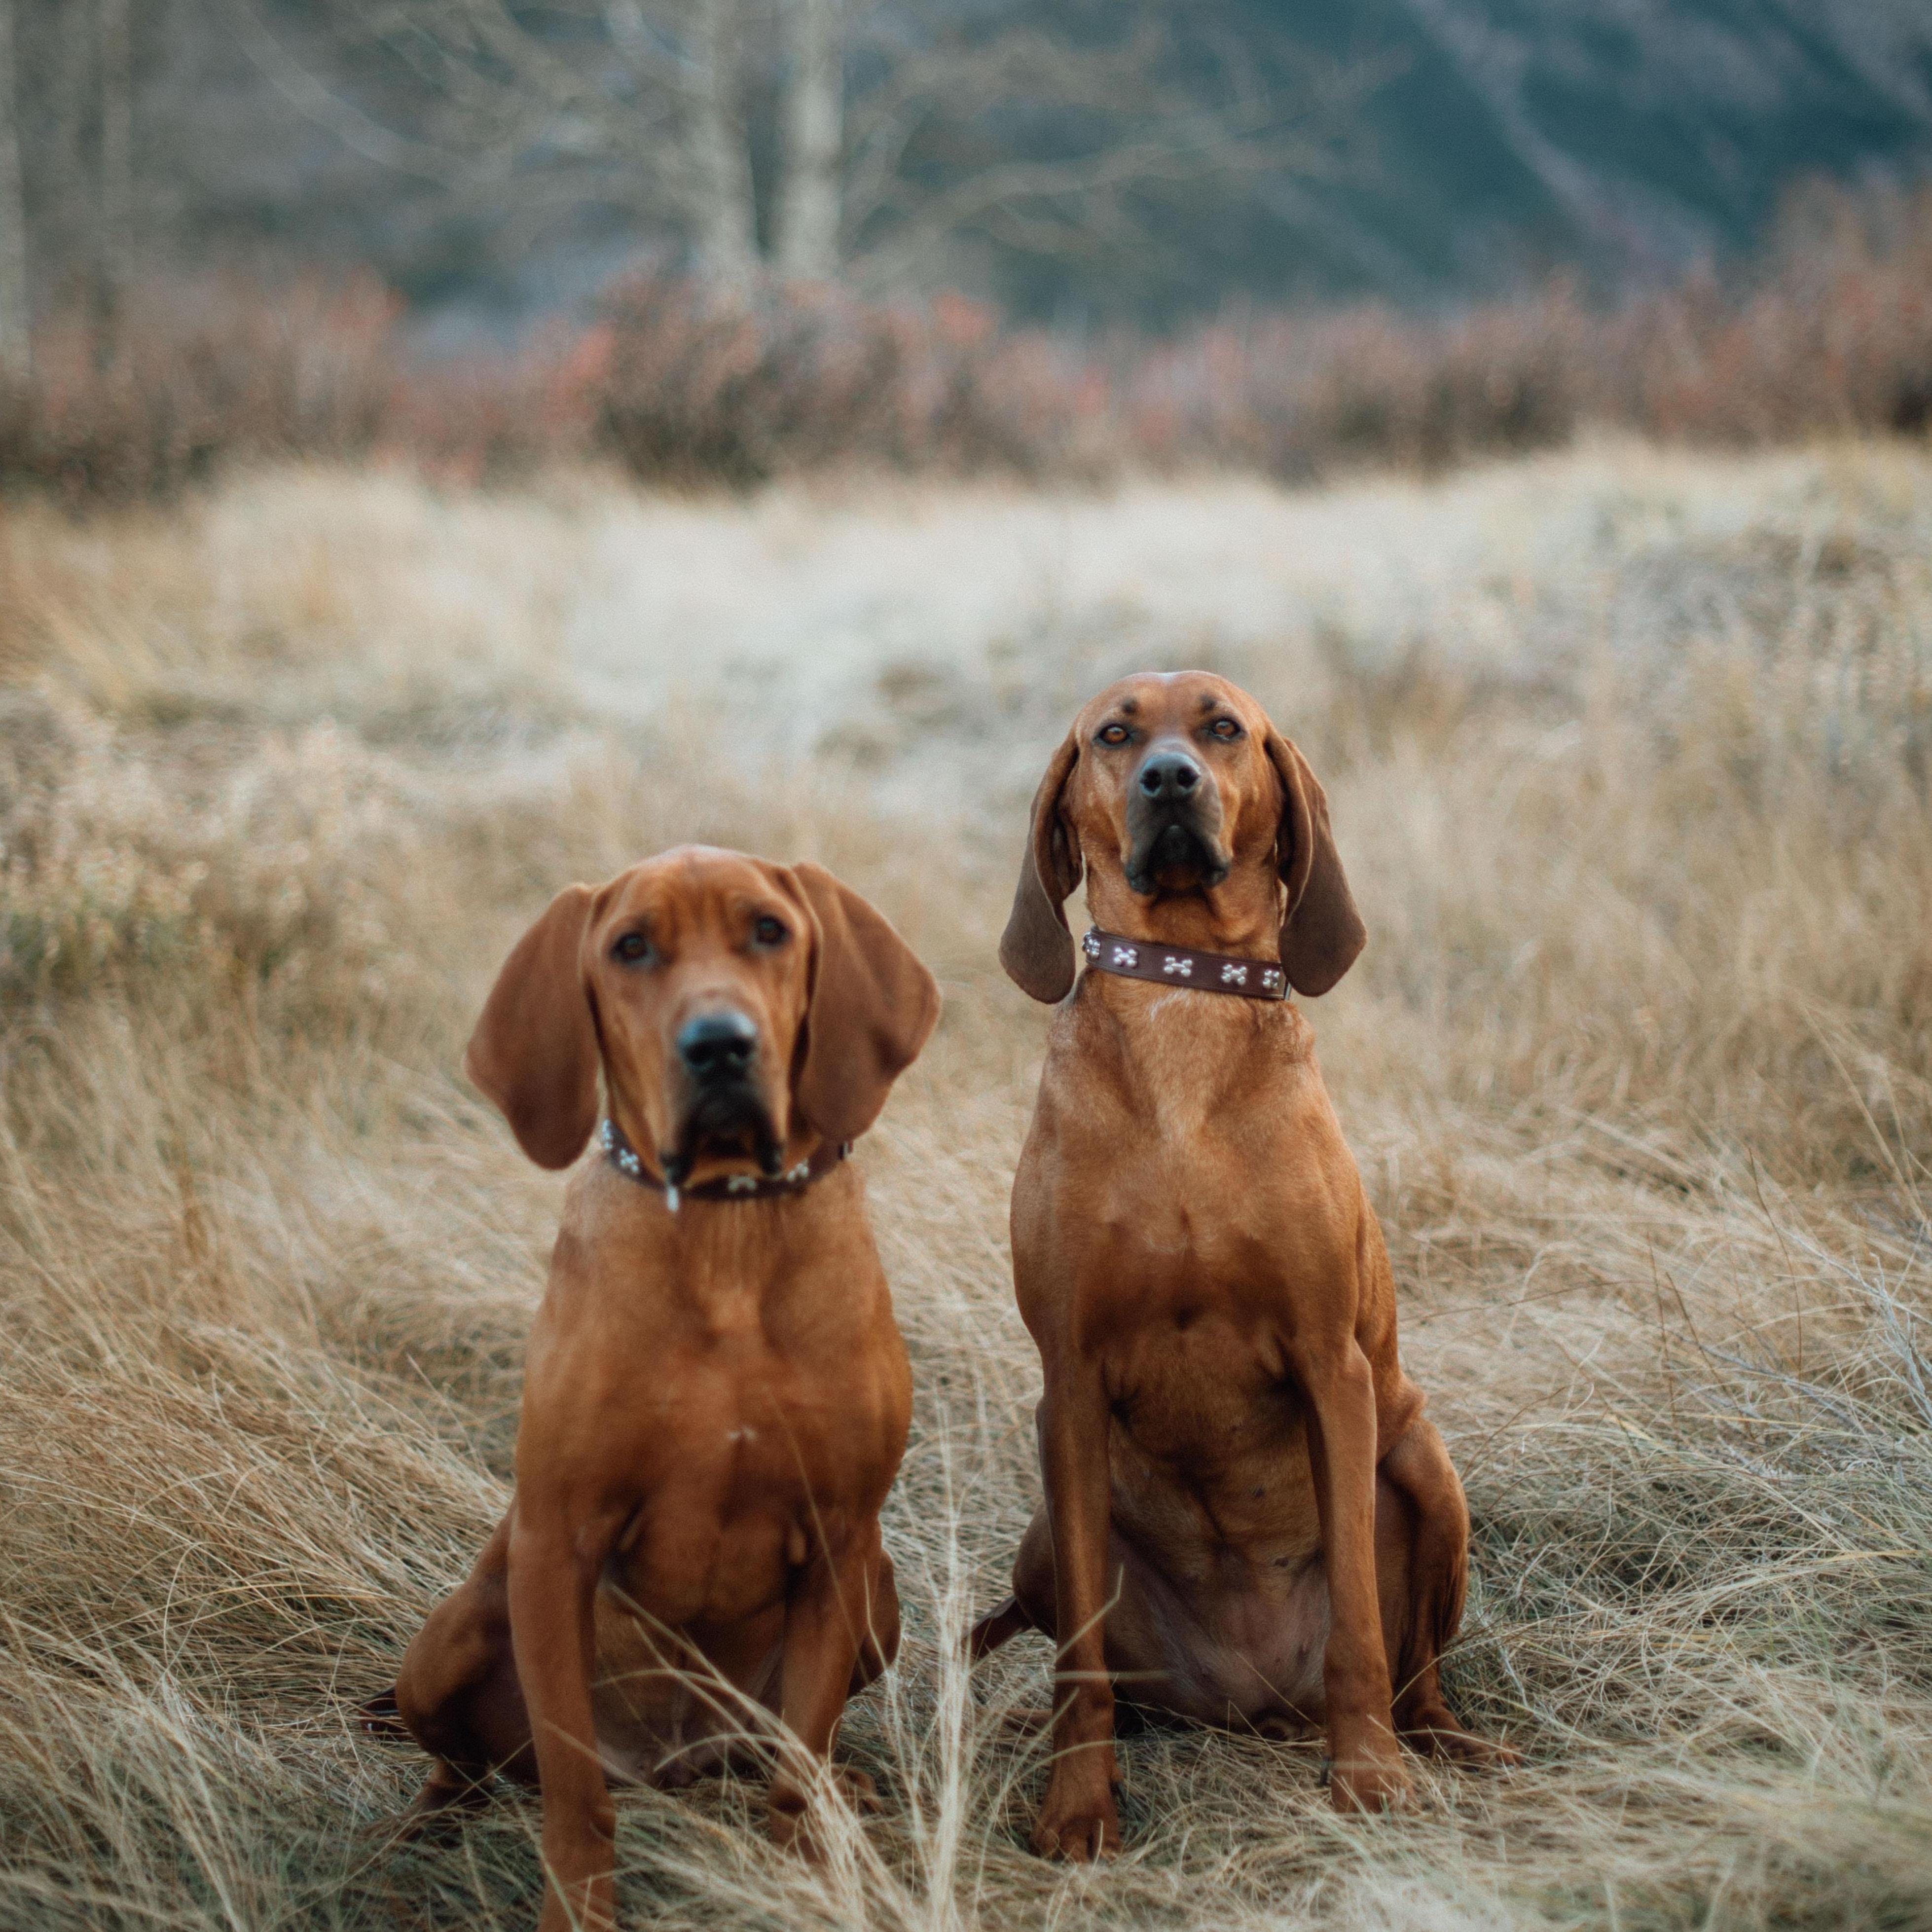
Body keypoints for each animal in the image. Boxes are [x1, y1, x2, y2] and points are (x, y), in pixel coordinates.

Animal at [371, 846, 943, 1932]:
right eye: (631, 946)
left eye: (769, 929)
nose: (719, 1046)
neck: (724, 1230)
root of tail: (672, 1764)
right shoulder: (555, 1542)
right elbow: (574, 1795)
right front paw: (577, 1912)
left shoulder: (841, 1538)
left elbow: (796, 1770)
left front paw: (809, 1877)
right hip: (451, 1634)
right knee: (466, 1766)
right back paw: (410, 1834)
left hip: (878, 1595)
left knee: (787, 1756)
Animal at [966, 676, 1507, 1855]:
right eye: (1113, 734)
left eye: (1223, 728)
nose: (1171, 779)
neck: (1185, 1009)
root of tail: (1248, 1702)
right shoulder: (1067, 1385)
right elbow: (1078, 1662)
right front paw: (1077, 1808)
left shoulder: (1330, 1366)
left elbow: (1357, 1618)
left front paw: (1369, 1776)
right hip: (1043, 1531)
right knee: (1094, 1666)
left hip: (1426, 1464)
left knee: (1418, 1675)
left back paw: (1446, 1744)